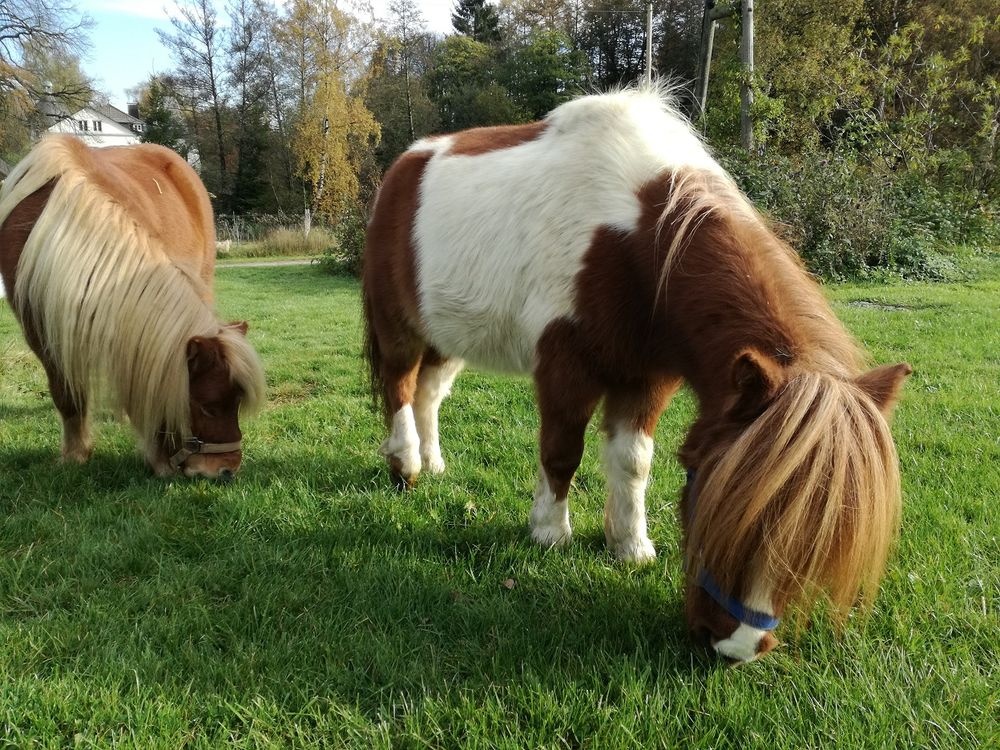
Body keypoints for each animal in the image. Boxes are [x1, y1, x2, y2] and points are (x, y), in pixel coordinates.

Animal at [364, 86, 912, 664]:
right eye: (731, 505)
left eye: (824, 538)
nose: (735, 647)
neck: (636, 241)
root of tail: (402, 168)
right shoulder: (567, 369)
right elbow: (561, 454)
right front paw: (550, 532)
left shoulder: (646, 379)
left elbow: (633, 462)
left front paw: (629, 545)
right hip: (400, 327)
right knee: (401, 388)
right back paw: (406, 465)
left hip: (449, 333)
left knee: (429, 394)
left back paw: (433, 462)